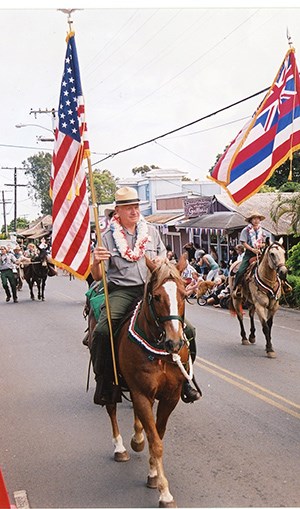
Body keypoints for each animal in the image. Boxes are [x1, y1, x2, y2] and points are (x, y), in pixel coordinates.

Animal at [88, 256, 193, 506]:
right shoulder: (141, 393)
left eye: (184, 294)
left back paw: (136, 438)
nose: (175, 343)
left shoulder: (170, 396)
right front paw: (164, 492)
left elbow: (158, 434)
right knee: (112, 408)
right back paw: (120, 448)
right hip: (110, 382)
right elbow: (156, 442)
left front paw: (153, 472)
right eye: (157, 296)